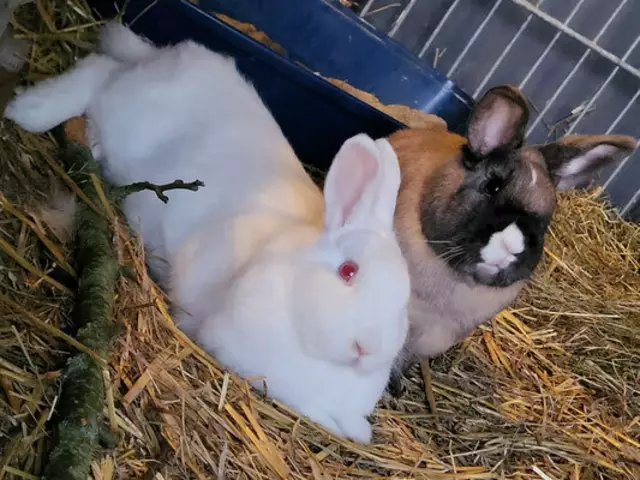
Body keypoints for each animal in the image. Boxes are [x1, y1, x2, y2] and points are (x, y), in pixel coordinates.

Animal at [4, 22, 411, 443]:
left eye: (405, 302)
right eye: (349, 271)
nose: (367, 348)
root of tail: (161, 56)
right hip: (128, 115)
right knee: (98, 72)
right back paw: (28, 111)